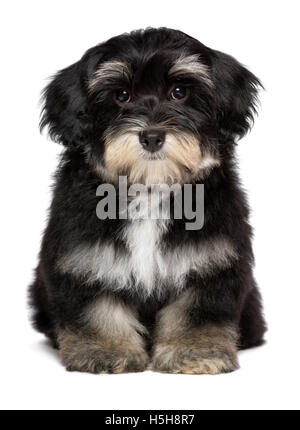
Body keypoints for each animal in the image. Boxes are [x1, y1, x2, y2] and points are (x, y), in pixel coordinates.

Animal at [29, 28, 266, 374]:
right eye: (121, 95)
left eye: (179, 92)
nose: (152, 136)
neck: (150, 189)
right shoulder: (85, 257)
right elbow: (96, 306)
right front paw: (104, 350)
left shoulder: (211, 259)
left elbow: (198, 310)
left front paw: (196, 351)